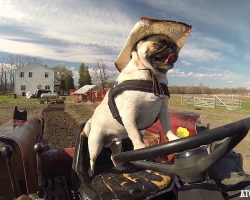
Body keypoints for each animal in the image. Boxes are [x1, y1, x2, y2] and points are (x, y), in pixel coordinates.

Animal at [84, 34, 180, 177]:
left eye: (175, 45)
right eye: (160, 42)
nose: (172, 47)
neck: (151, 76)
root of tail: (91, 120)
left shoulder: (163, 110)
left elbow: (167, 126)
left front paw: (173, 137)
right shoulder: (129, 113)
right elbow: (134, 133)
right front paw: (140, 147)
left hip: (117, 144)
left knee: (114, 156)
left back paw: (119, 168)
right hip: (95, 143)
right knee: (92, 159)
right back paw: (90, 172)